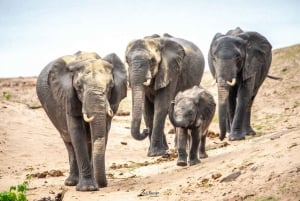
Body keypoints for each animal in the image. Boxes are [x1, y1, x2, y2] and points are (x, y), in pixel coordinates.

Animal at [35, 51, 127, 191]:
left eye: (110, 86)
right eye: (78, 87)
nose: (103, 184)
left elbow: (103, 132)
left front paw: (93, 185)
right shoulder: (68, 96)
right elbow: (77, 133)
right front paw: (87, 189)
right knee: (69, 142)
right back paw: (71, 182)